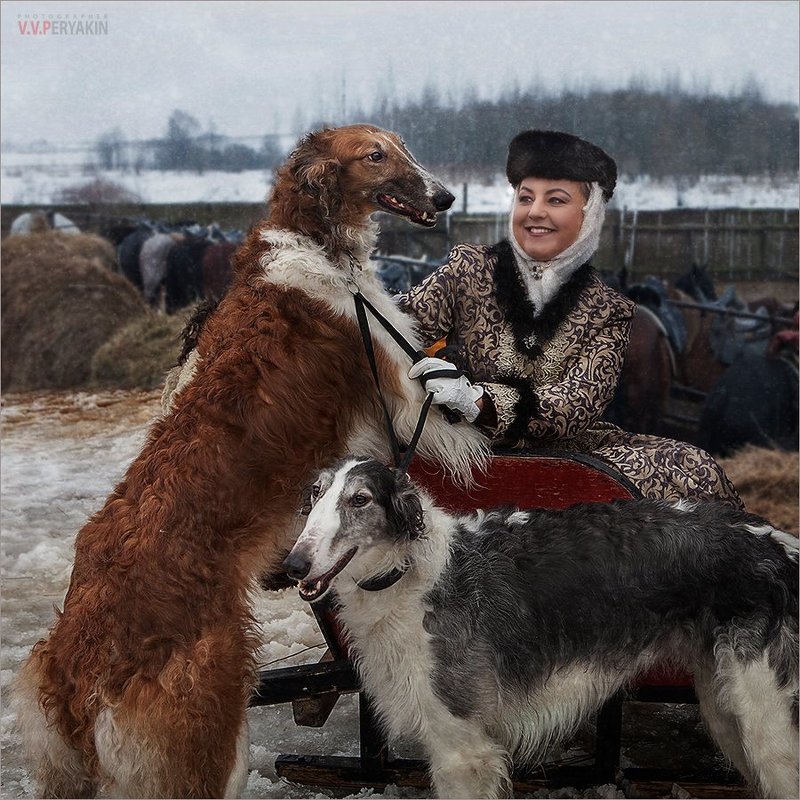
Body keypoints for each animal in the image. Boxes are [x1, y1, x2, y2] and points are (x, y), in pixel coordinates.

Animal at [14, 126, 488, 800]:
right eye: (376, 154)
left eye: (400, 145)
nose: (447, 197)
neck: (317, 247)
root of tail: (76, 672)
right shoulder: (400, 389)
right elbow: (459, 421)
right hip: (215, 731)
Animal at [286, 456, 800, 800]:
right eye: (315, 495)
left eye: (360, 499)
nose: (293, 566)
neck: (411, 573)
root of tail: (781, 545)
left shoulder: (462, 749)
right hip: (727, 710)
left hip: (768, 727)